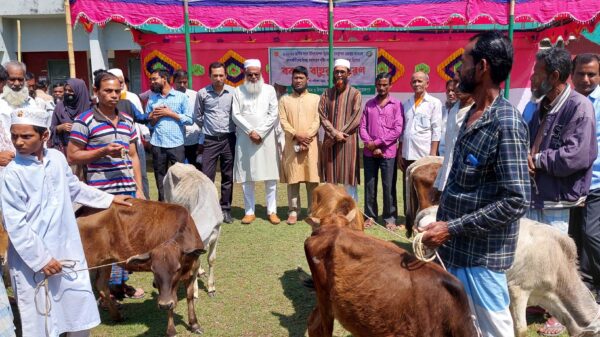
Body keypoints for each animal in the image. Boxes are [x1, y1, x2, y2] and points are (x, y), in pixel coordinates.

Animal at [75, 198, 206, 336]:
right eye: (153, 270)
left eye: (177, 269)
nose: (163, 305)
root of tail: (83, 209)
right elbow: (171, 303)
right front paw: (171, 330)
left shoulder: (193, 269)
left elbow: (189, 297)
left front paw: (194, 324)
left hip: (106, 261)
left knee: (101, 286)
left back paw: (117, 316)